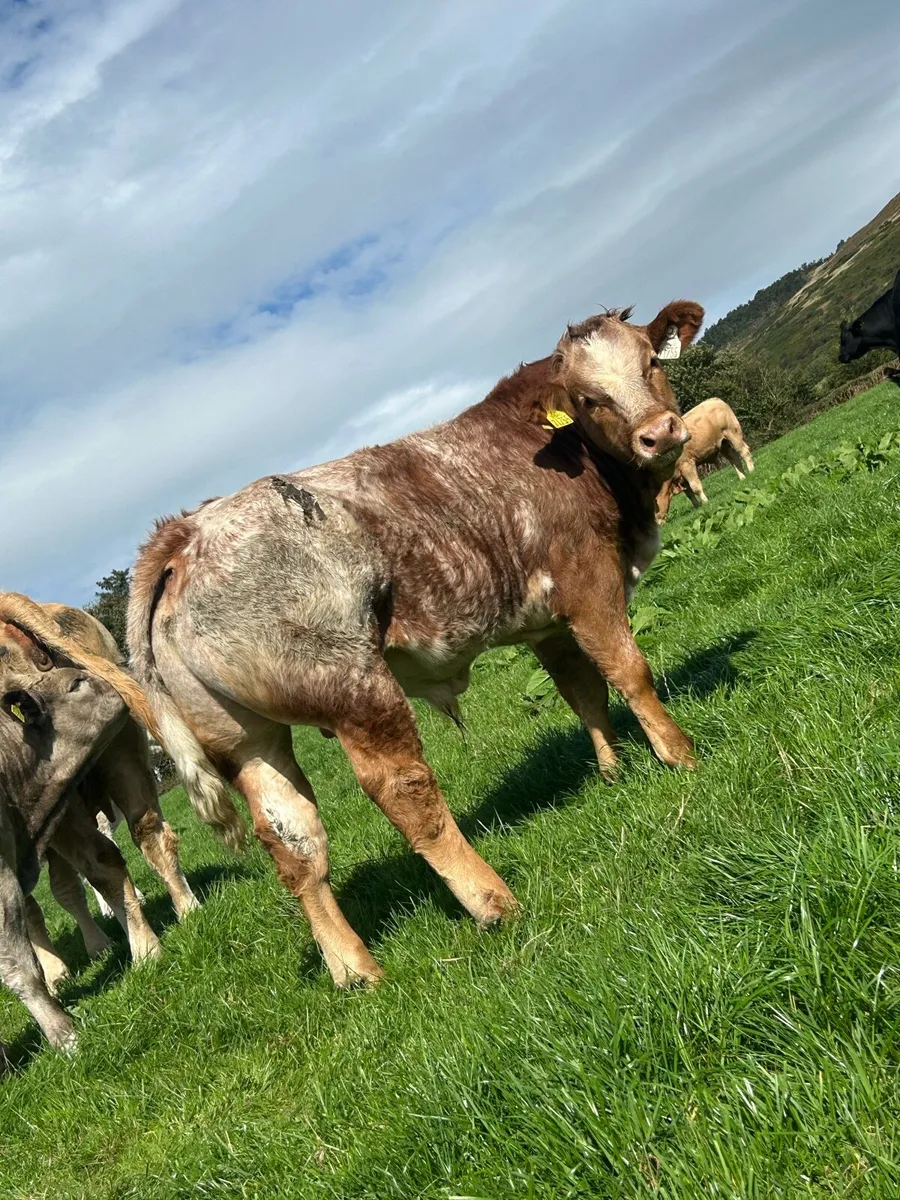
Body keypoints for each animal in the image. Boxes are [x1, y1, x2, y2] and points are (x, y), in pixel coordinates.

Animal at [127, 300, 704, 990]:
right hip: (356, 690)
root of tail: (185, 533)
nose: (660, 433)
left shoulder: (545, 622)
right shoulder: (586, 583)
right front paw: (680, 756)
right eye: (590, 399)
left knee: (294, 844)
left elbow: (583, 692)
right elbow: (627, 670)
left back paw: (355, 971)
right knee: (405, 792)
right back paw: (493, 901)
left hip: (246, 741)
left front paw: (613, 771)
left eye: (650, 362)